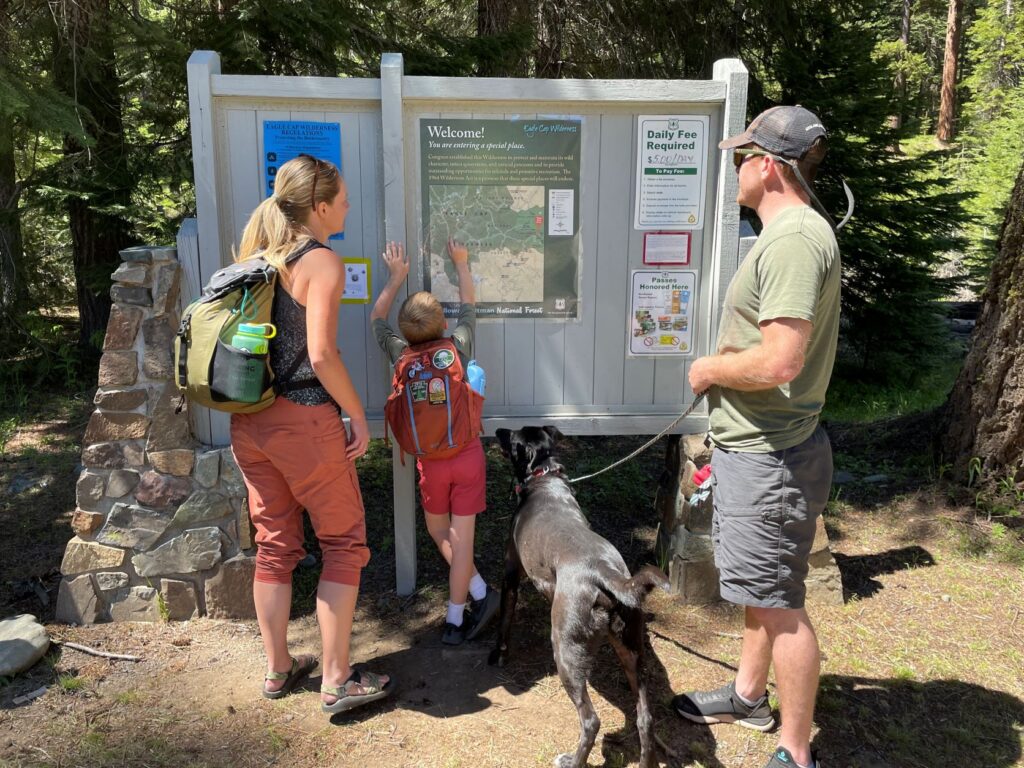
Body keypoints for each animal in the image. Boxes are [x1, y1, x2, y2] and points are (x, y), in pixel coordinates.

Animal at [491, 428, 667, 768]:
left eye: (512, 437)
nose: (498, 431)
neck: (544, 477)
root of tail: (606, 574)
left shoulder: (510, 574)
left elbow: (504, 619)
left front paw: (498, 654)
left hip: (566, 651)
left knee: (591, 720)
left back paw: (573, 760)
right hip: (632, 650)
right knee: (646, 718)